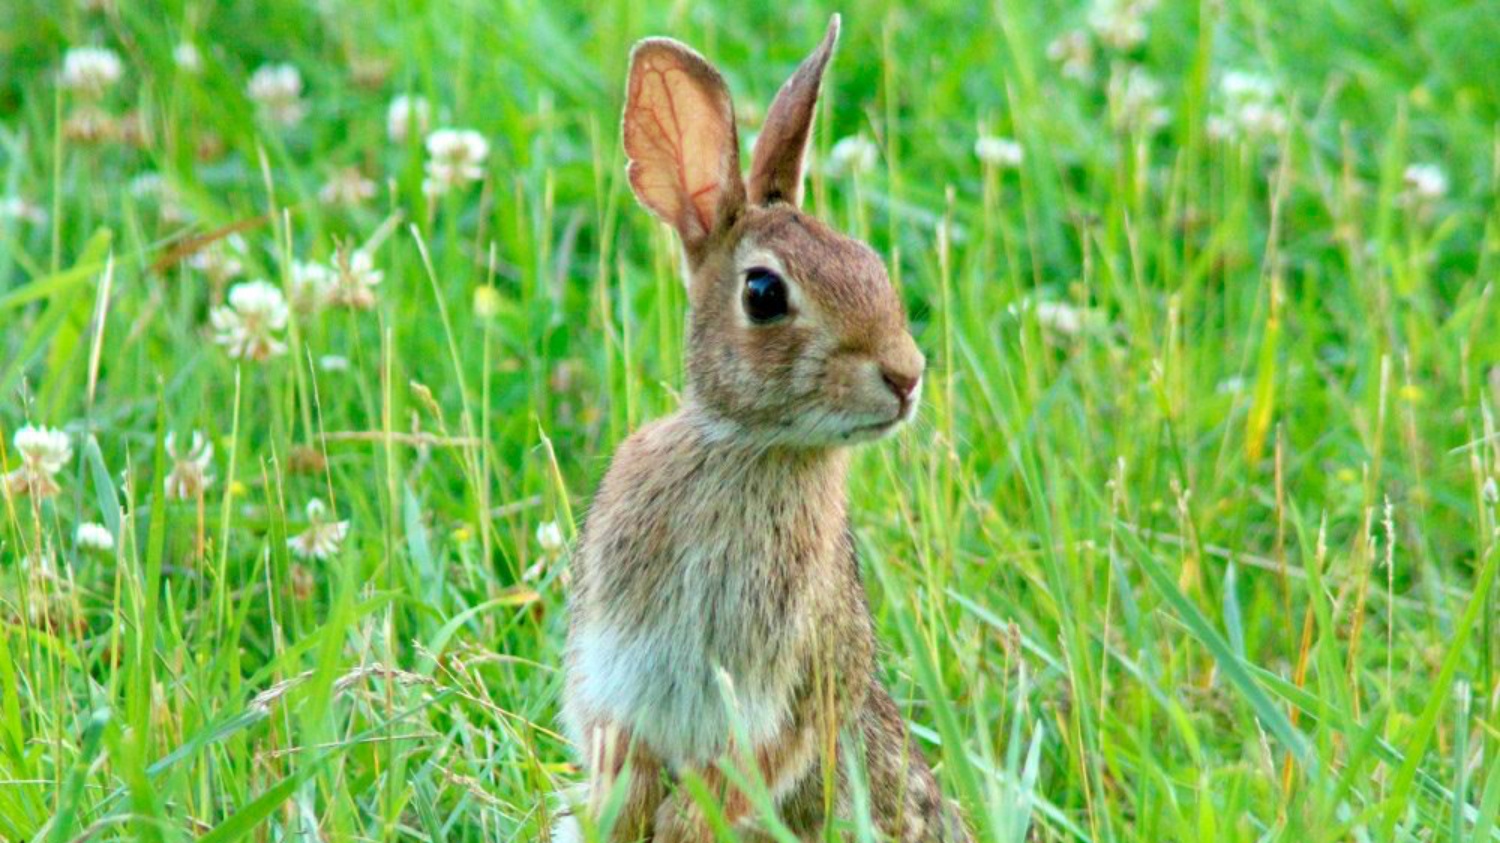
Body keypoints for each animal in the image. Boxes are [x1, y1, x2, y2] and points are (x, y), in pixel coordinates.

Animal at [555, 14, 972, 840]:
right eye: (763, 293)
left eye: (871, 263)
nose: (906, 375)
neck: (751, 446)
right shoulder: (616, 674)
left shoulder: (787, 692)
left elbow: (746, 768)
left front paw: (681, 823)